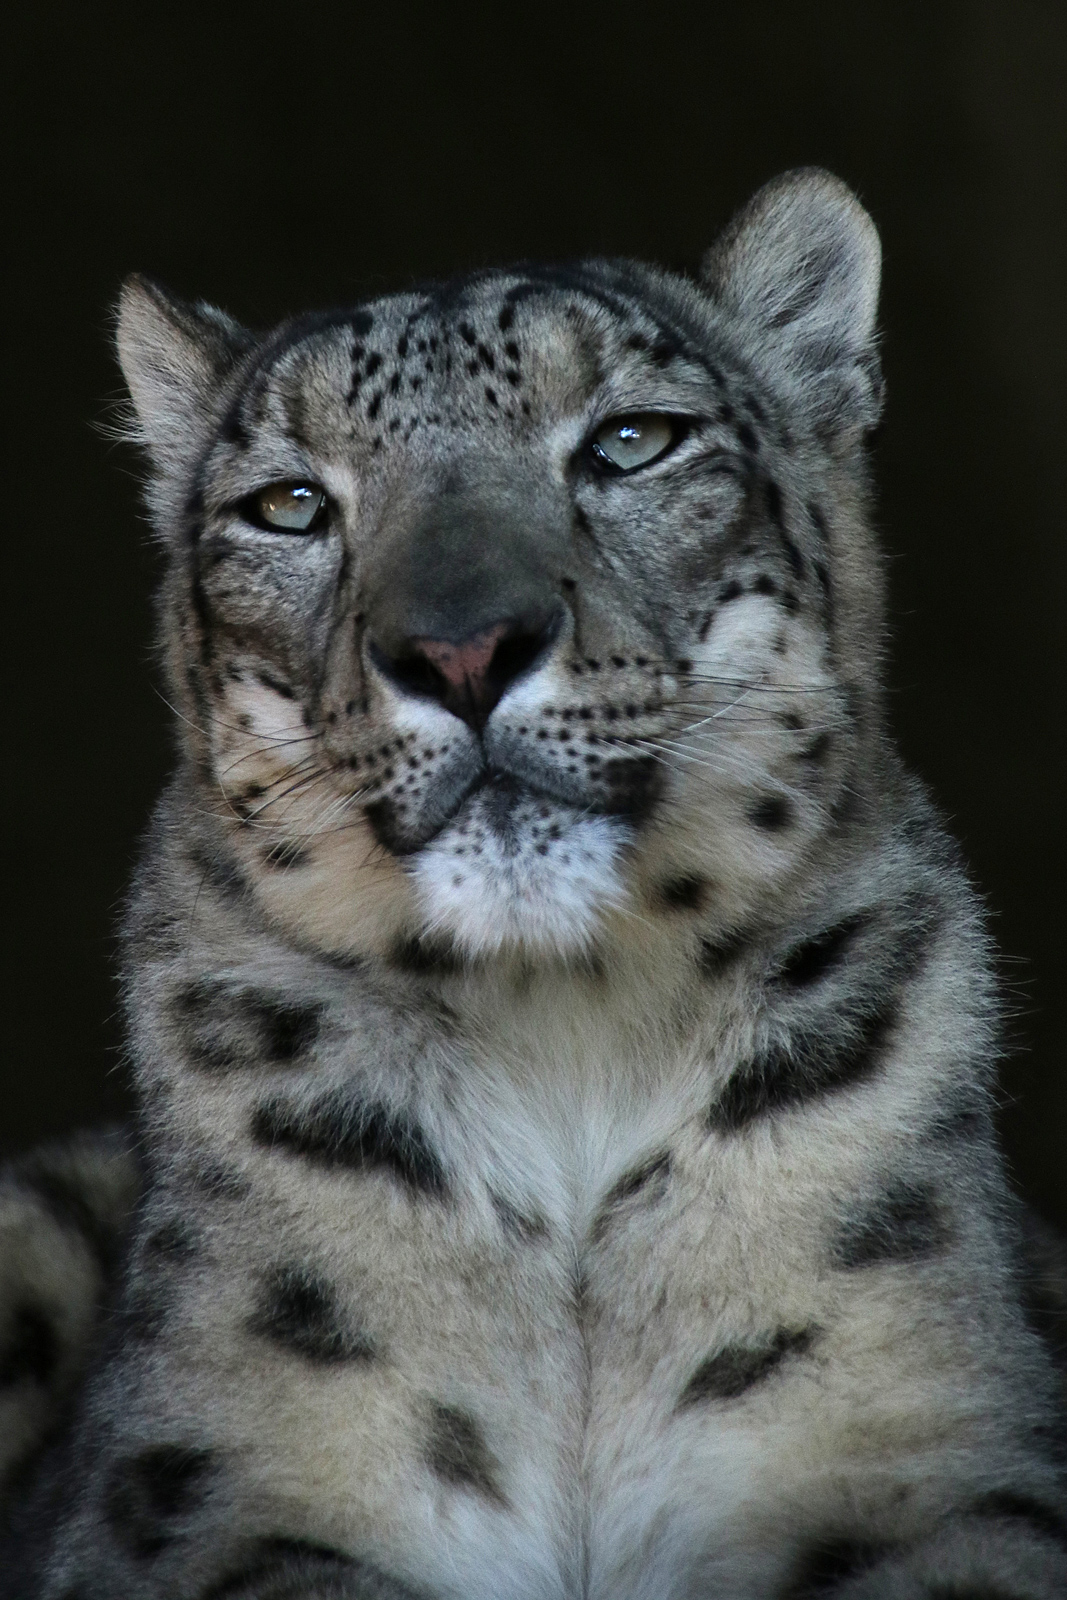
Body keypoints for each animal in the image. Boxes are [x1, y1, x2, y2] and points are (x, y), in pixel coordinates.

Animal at [2, 168, 1066, 1598]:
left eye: (628, 439)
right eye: (289, 504)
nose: (461, 648)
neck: (564, 1030)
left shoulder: (944, 1452)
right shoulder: (203, 1504)